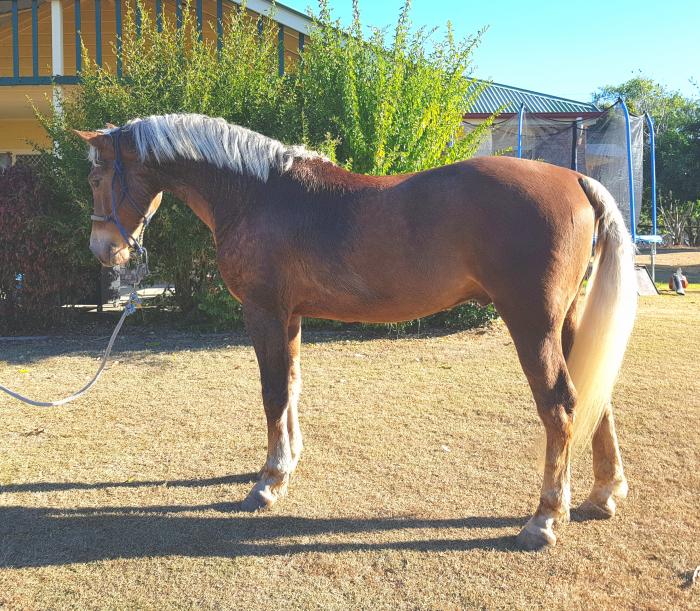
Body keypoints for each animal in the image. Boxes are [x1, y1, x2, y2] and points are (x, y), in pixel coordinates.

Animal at [74, 113, 637, 550]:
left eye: (98, 176)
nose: (103, 250)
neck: (258, 193)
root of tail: (574, 179)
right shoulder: (291, 315)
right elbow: (292, 386)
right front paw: (289, 461)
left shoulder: (263, 311)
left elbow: (272, 391)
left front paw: (268, 482)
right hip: (566, 321)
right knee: (595, 397)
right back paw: (602, 494)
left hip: (532, 323)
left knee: (560, 404)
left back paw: (544, 519)